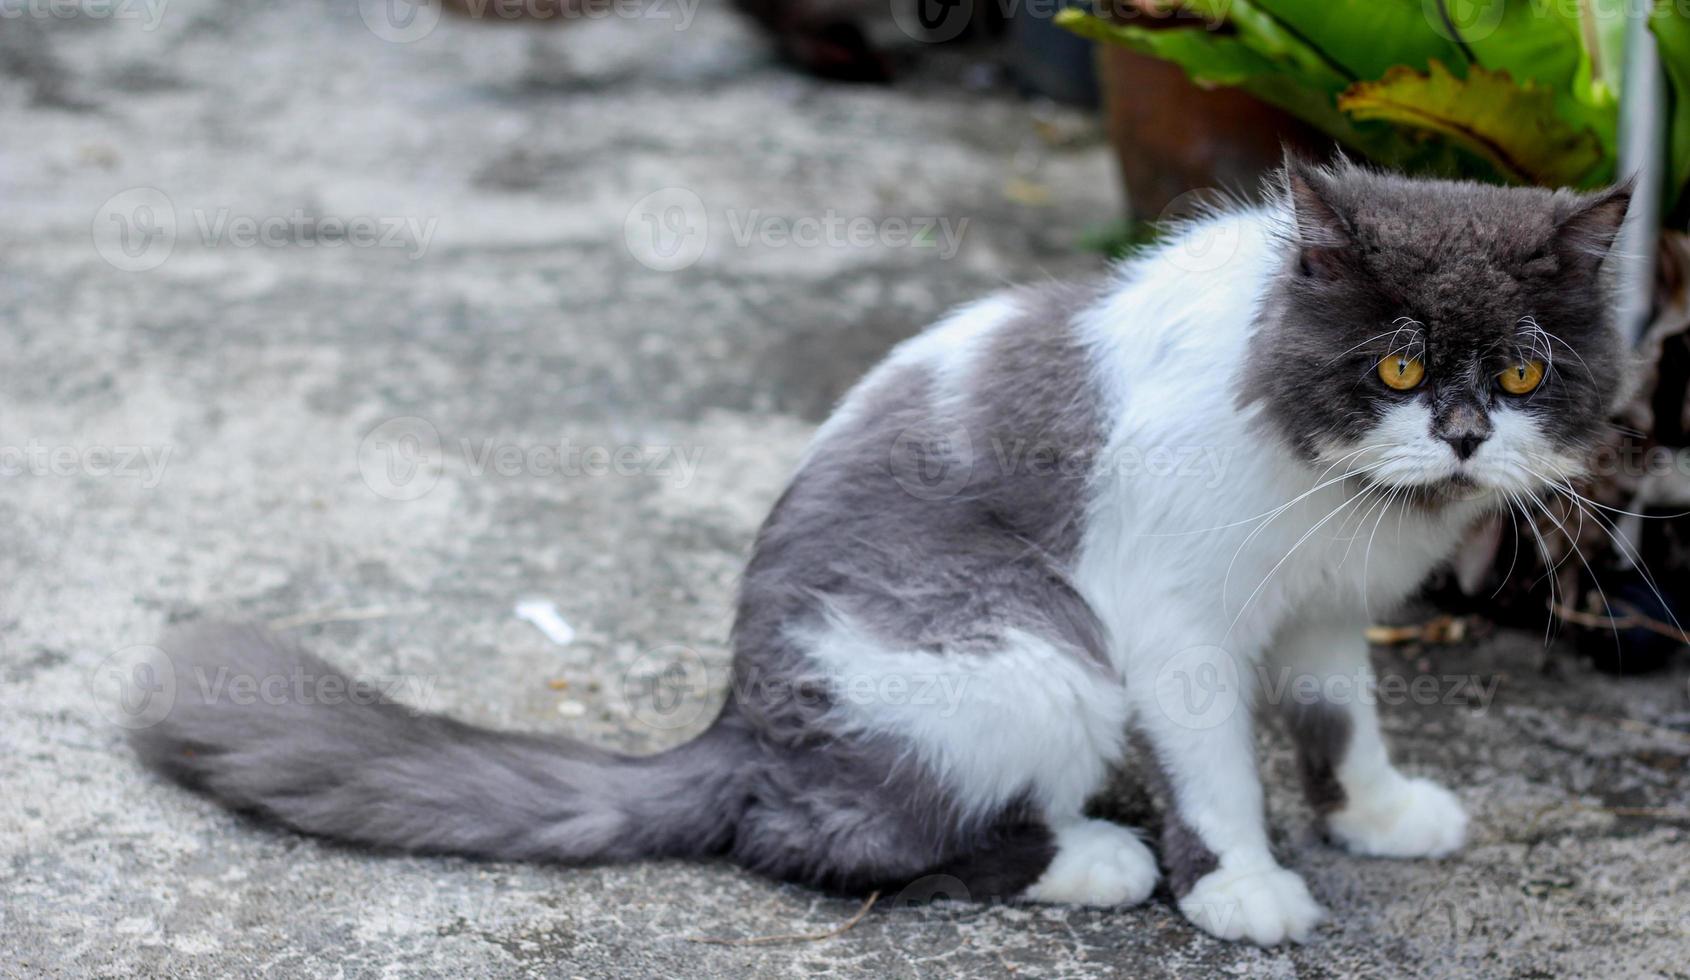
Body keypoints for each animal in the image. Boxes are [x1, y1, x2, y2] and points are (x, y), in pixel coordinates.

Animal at [125, 157, 1629, 946]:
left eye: (1516, 371)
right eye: (1394, 365)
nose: (1456, 438)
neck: (1334, 487)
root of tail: (734, 723)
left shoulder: (1322, 610)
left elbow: (1336, 721)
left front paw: (1376, 816)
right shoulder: (1169, 625)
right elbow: (1216, 768)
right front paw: (1243, 888)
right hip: (1031, 653)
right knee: (826, 840)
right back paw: (1092, 858)